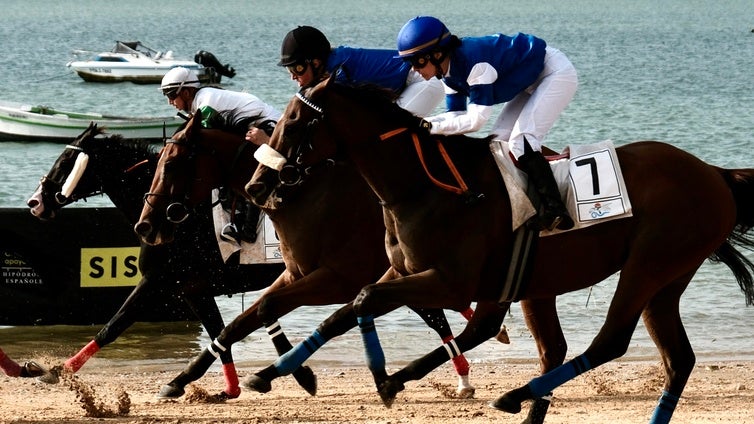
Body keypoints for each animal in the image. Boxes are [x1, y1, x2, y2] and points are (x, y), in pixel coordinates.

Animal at [24, 121, 306, 398]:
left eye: (65, 161)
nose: (34, 202)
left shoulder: (156, 279)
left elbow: (114, 325)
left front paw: (58, 370)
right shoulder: (193, 288)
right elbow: (218, 333)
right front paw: (230, 387)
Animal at [245, 77, 752, 424]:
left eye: (294, 122)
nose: (257, 185)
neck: (423, 188)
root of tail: (714, 173)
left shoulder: (449, 281)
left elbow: (364, 299)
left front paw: (383, 377)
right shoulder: (404, 272)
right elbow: (348, 309)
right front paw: (276, 370)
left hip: (649, 265)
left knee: (610, 340)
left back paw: (511, 395)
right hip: (659, 280)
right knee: (672, 359)